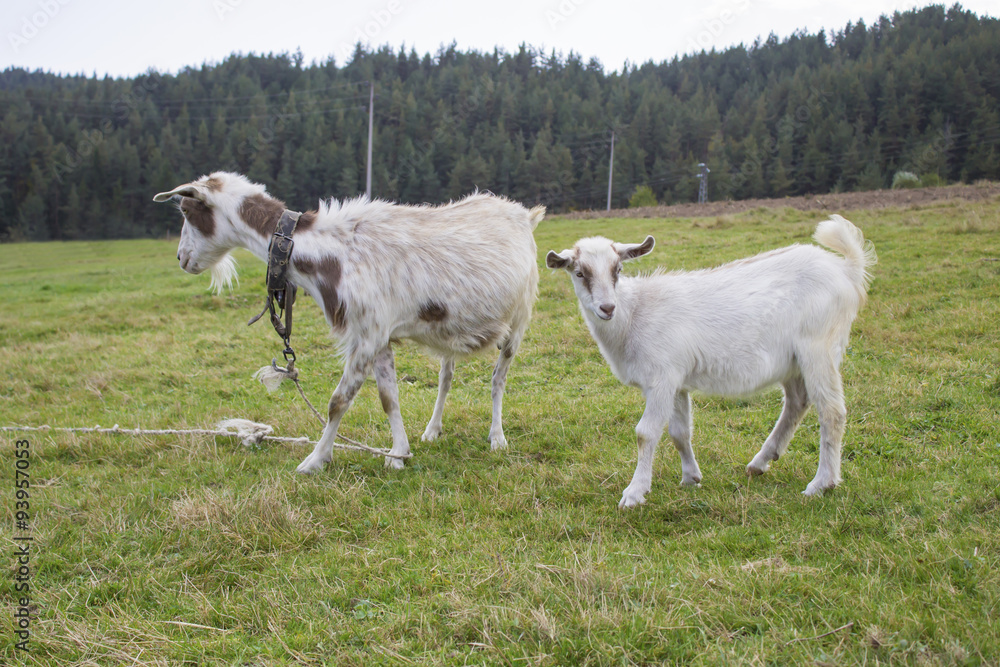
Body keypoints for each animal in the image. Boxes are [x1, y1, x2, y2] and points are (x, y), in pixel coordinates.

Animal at [153, 172, 544, 471]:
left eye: (187, 210)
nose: (182, 258)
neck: (329, 250)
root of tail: (524, 215)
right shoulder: (379, 335)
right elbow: (389, 397)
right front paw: (398, 454)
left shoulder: (368, 334)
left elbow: (338, 400)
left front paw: (314, 460)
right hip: (451, 329)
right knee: (446, 376)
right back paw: (432, 429)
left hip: (519, 319)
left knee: (498, 378)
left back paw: (497, 437)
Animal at [546, 215, 875, 507]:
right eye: (579, 273)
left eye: (618, 269)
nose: (607, 308)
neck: (634, 313)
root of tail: (846, 269)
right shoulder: (676, 381)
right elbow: (680, 433)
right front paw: (690, 478)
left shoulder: (661, 377)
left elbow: (645, 433)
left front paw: (634, 493)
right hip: (793, 361)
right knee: (797, 402)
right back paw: (760, 462)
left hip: (818, 347)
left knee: (831, 412)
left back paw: (821, 484)